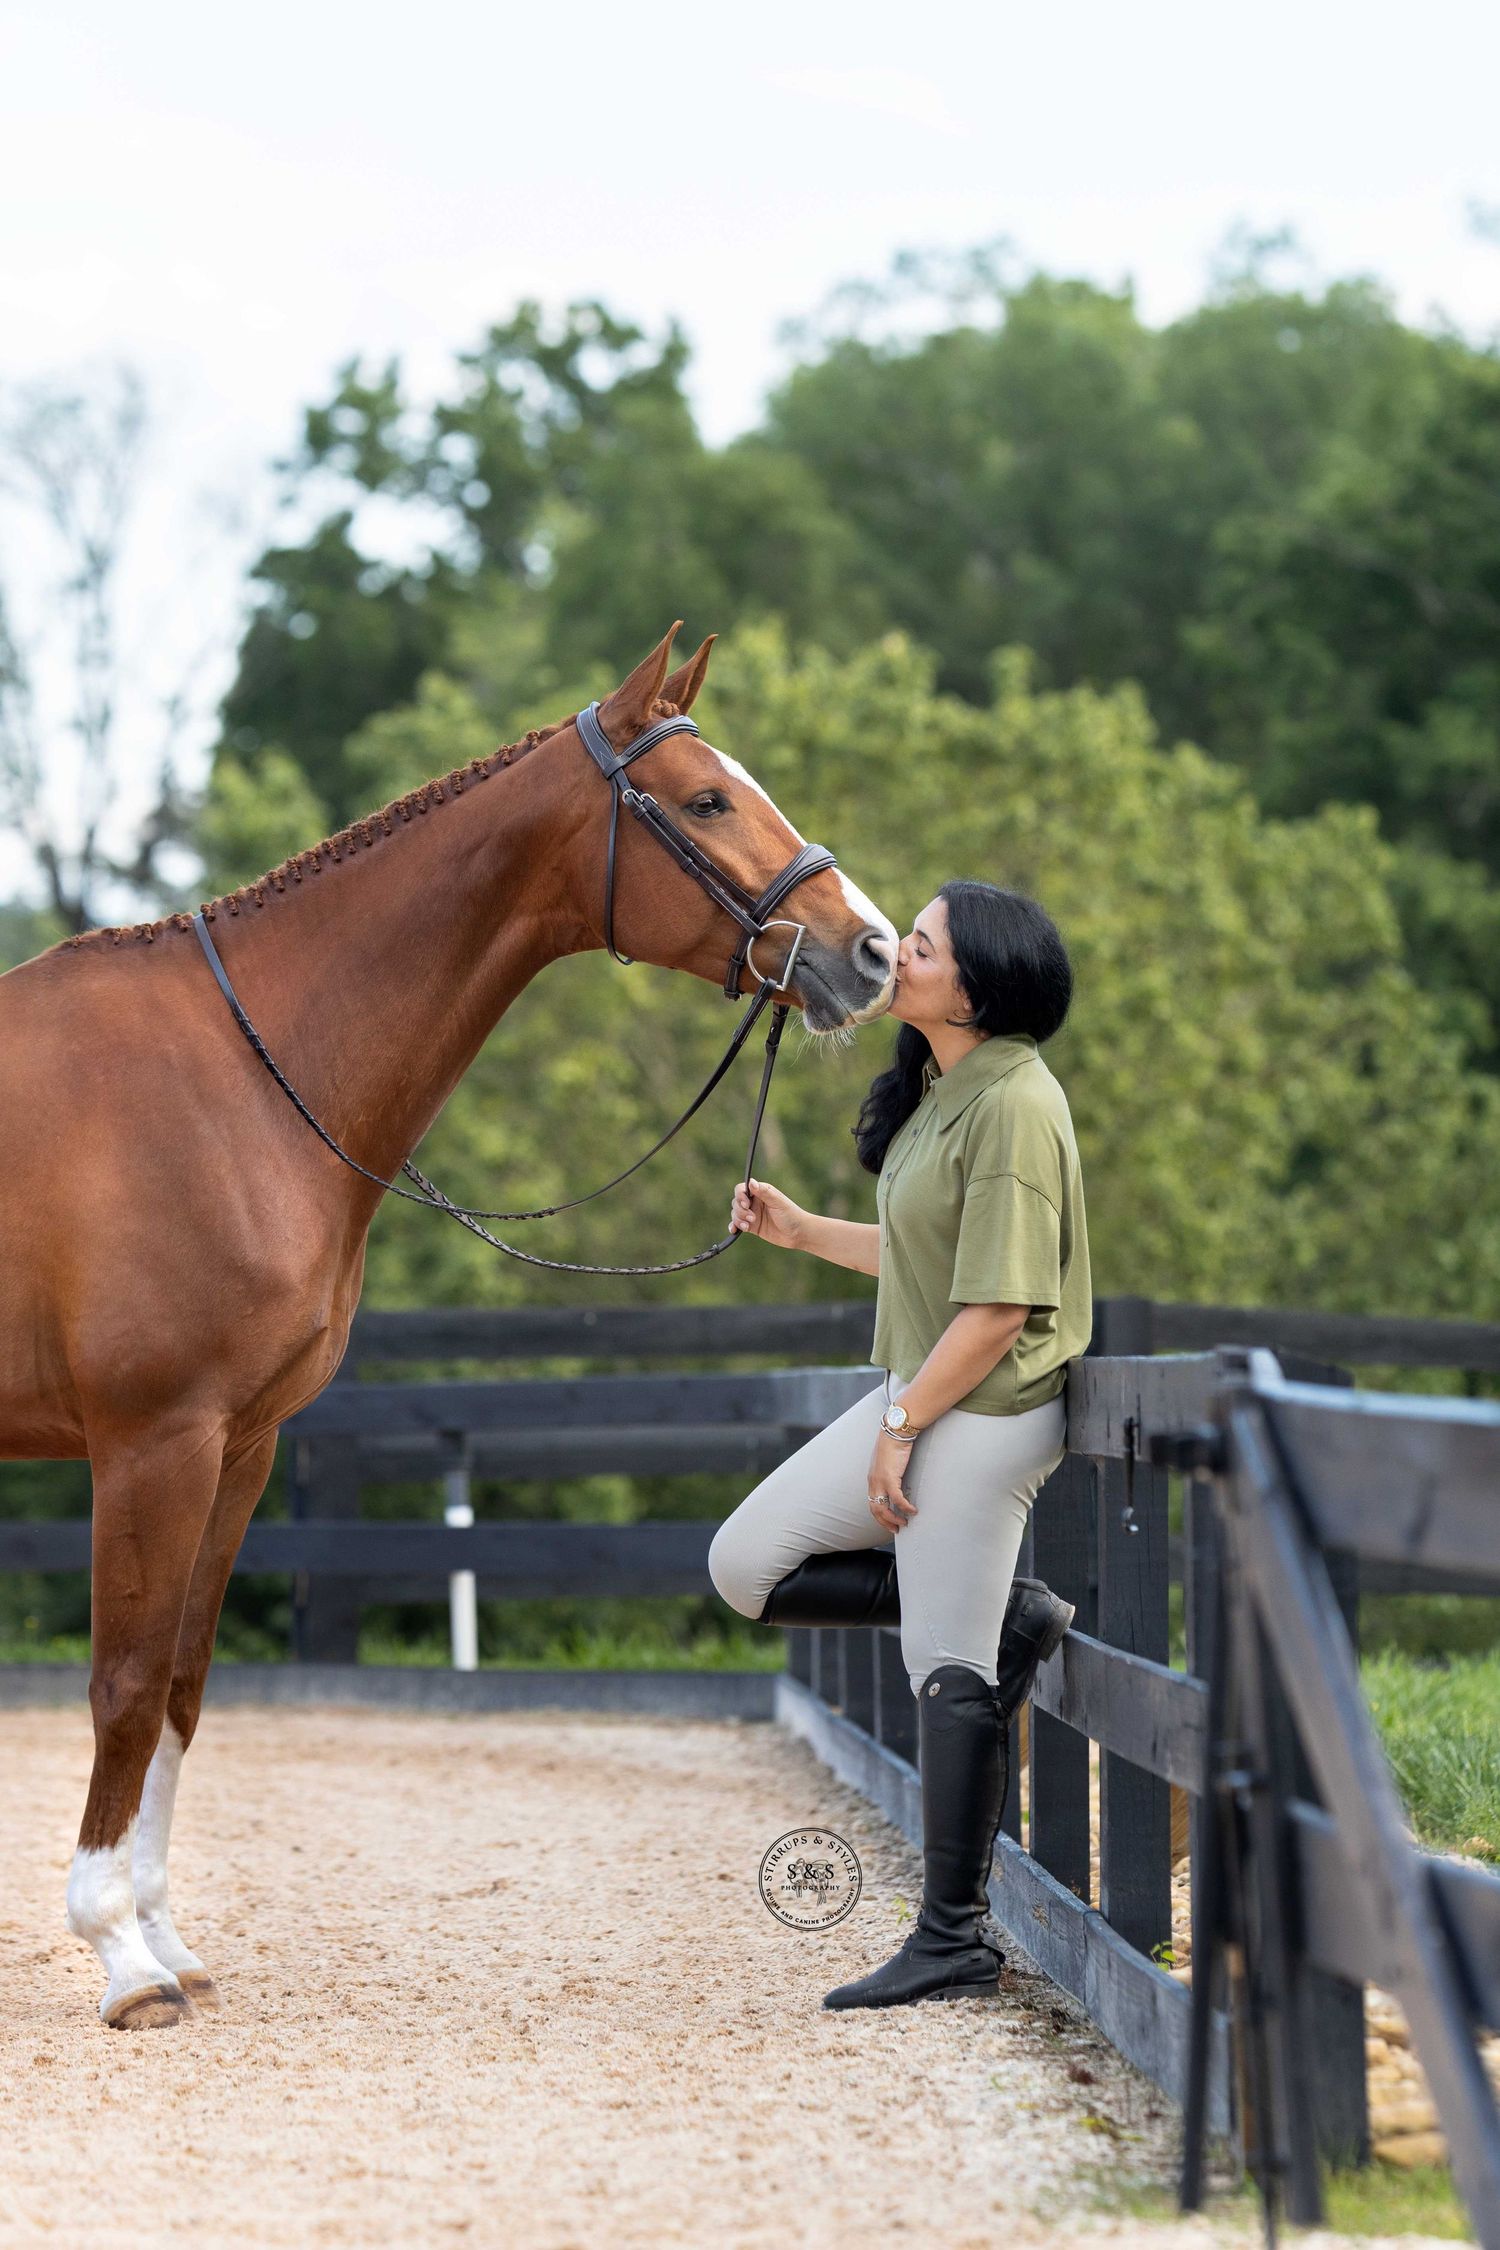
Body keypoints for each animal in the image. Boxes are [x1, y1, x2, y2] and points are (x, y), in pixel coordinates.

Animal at [0, 621, 898, 2029]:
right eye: (706, 799)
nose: (870, 952)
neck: (243, 1079)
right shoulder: (152, 1443)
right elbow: (127, 1684)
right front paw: (120, 1959)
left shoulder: (239, 1449)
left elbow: (184, 1688)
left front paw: (164, 1936)